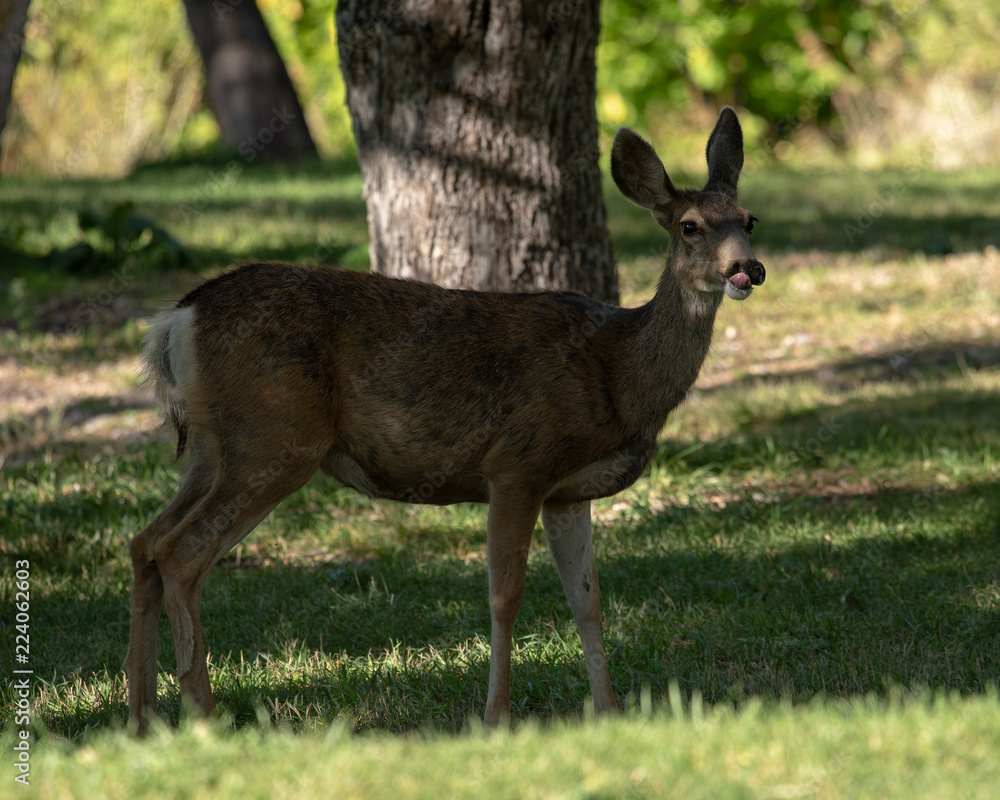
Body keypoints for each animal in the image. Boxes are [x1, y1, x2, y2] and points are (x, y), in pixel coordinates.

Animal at [124, 107, 764, 735]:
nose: (747, 269)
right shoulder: (517, 464)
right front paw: (496, 718)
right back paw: (203, 718)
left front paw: (608, 713)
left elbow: (587, 600)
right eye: (689, 226)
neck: (618, 373)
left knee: (145, 541)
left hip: (215, 449)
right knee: (182, 553)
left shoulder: (566, 491)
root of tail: (176, 320)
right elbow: (506, 596)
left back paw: (142, 717)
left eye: (748, 219)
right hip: (275, 437)